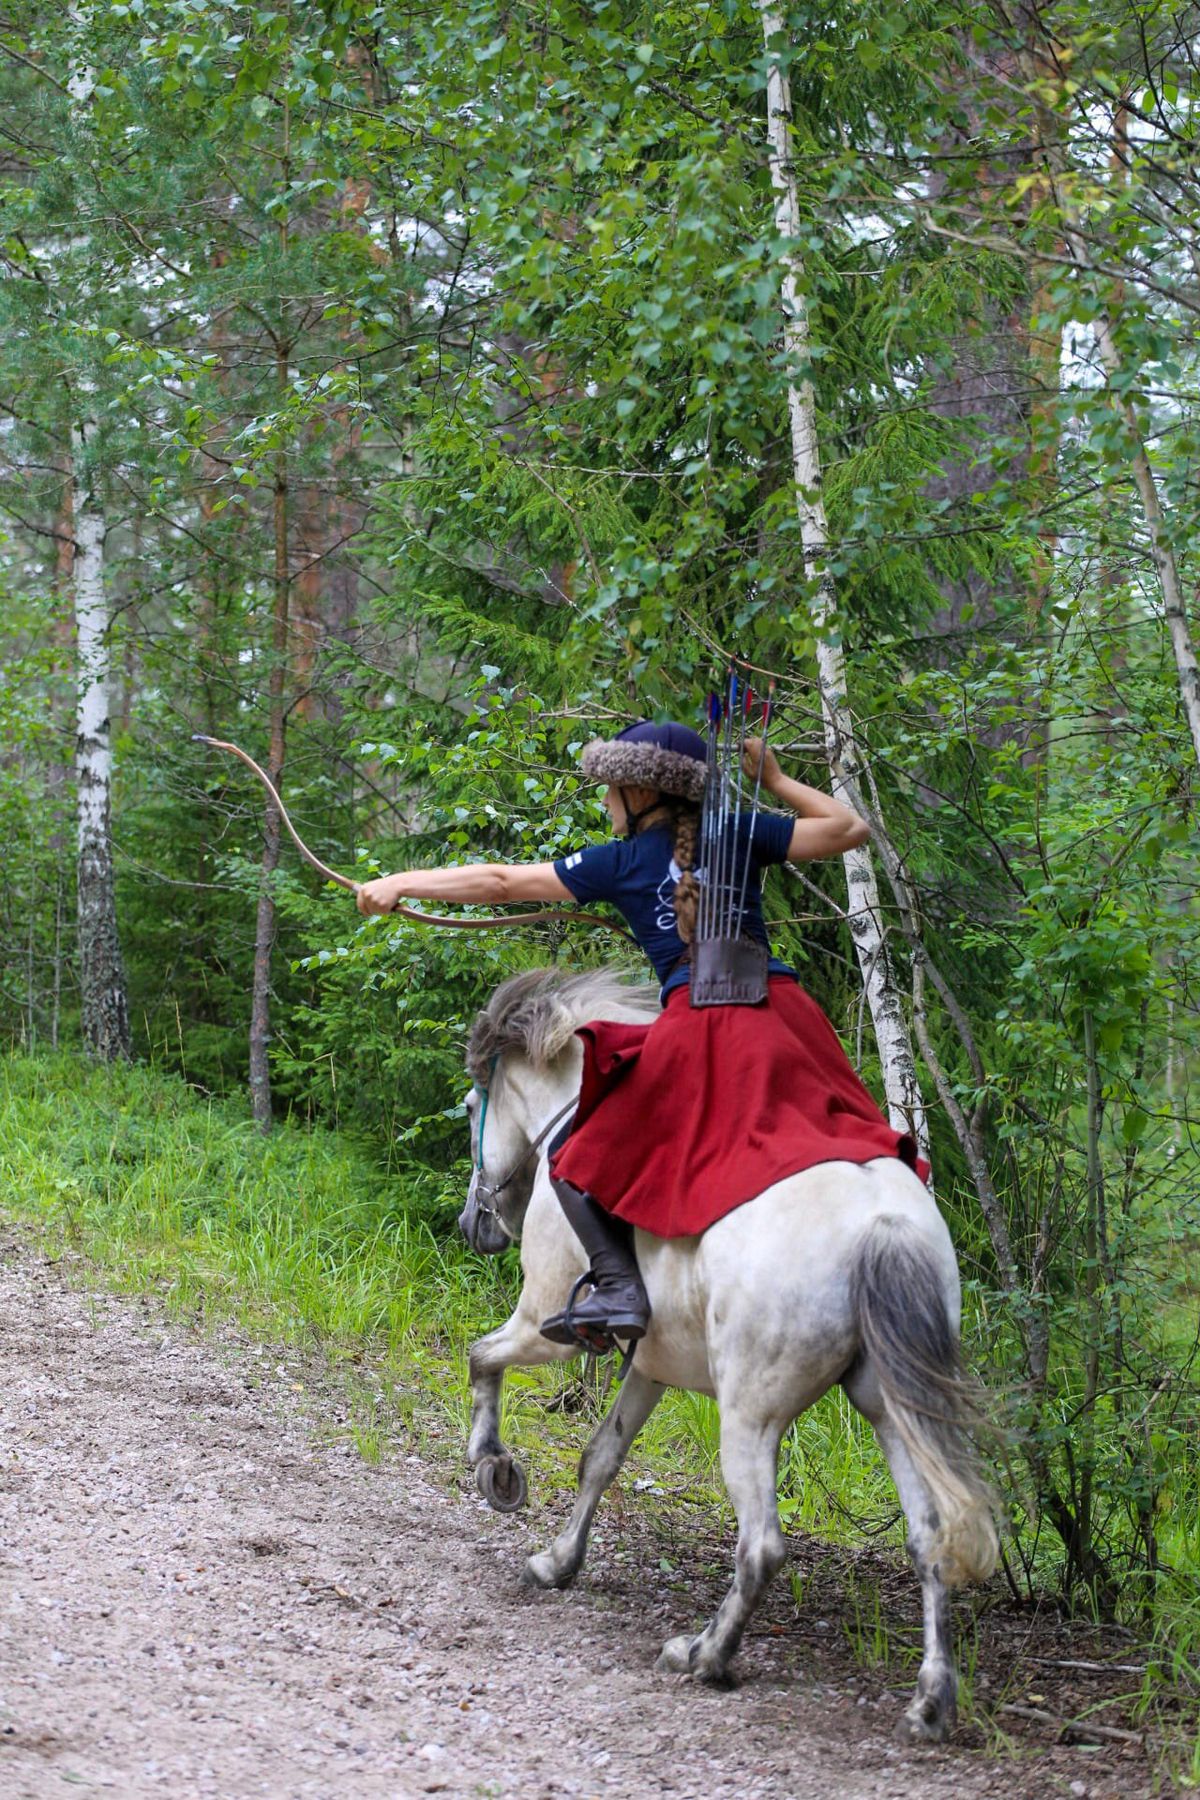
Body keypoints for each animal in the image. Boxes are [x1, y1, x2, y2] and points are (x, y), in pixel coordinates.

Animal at [455, 972, 1000, 1742]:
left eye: (476, 1104)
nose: (473, 1224)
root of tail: (881, 1226)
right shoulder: (650, 1364)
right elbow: (601, 1457)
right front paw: (558, 1562)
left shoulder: (540, 1324)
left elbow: (482, 1358)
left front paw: (496, 1470)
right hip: (892, 1410)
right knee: (929, 1539)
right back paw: (930, 1700)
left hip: (751, 1416)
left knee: (762, 1545)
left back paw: (705, 1653)